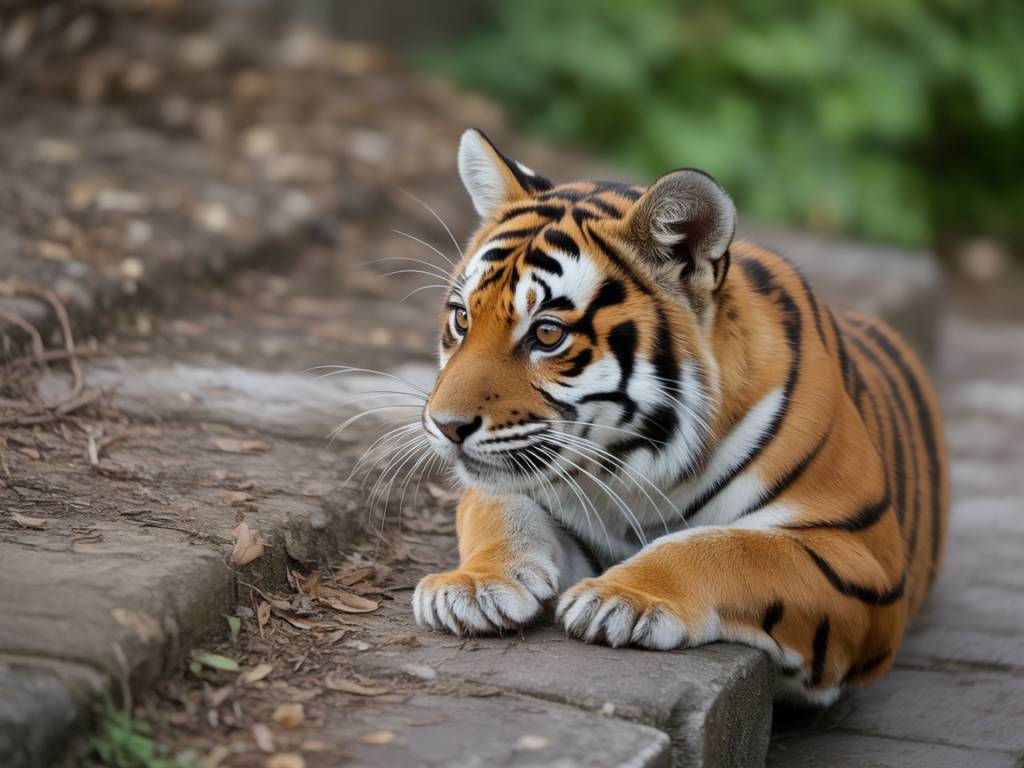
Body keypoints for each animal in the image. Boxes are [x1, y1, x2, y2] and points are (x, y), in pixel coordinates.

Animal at [409, 128, 948, 705]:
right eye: (462, 318)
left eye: (548, 333)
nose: (444, 425)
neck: (631, 462)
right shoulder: (514, 486)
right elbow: (499, 510)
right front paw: (471, 585)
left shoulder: (859, 554)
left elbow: (726, 548)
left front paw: (620, 598)